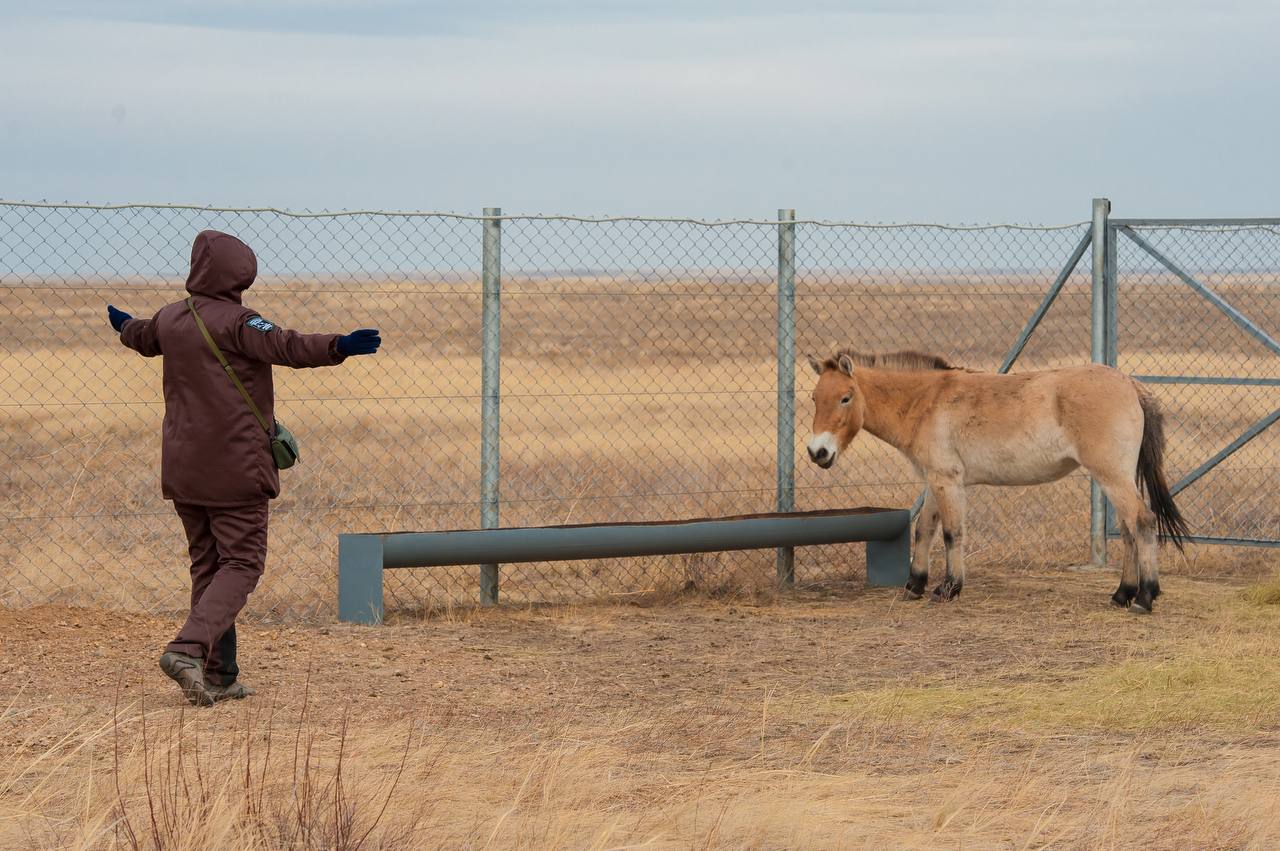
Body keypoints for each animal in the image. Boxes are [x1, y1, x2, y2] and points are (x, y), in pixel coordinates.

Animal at [808, 348, 1187, 614]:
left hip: (1112, 477)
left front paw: (948, 588)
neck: (927, 402)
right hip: (1113, 479)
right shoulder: (934, 481)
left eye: (845, 397)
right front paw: (915, 585)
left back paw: (1145, 597)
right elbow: (924, 529)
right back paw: (1123, 593)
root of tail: (1130, 384)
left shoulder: (948, 482)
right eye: (814, 398)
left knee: (1142, 521)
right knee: (1128, 529)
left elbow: (952, 533)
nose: (817, 452)